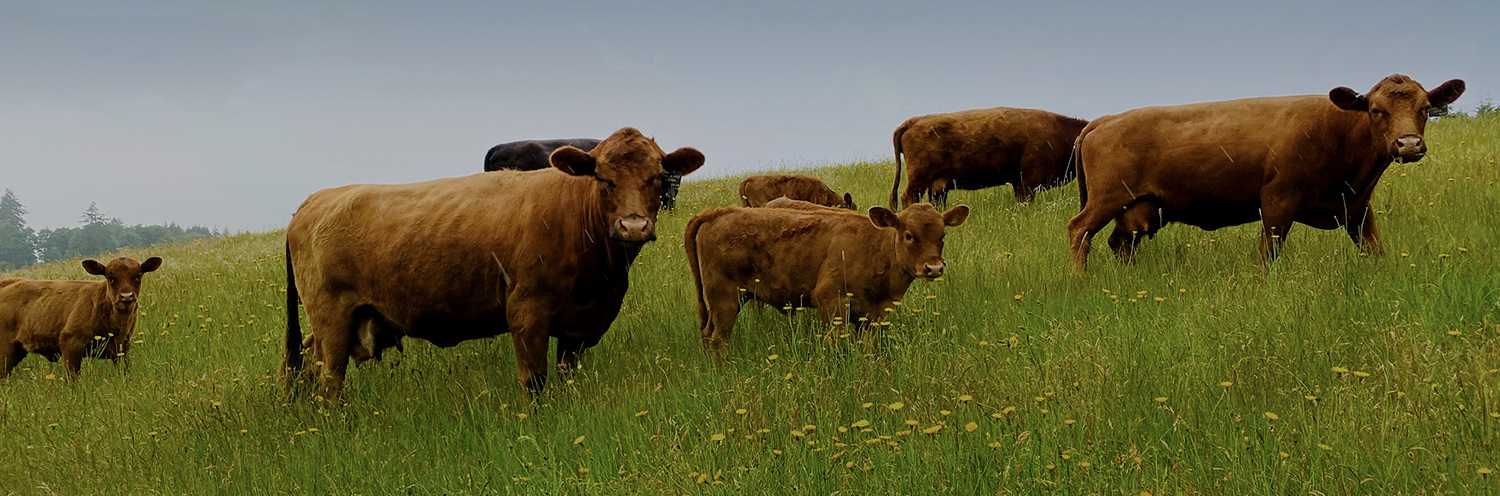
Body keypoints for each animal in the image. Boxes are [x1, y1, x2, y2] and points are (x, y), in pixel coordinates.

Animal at [0, 257, 162, 379]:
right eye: (110, 278)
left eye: (138, 276)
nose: (126, 296)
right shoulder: (71, 344)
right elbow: (72, 378)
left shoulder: (123, 347)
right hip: (6, 349)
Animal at [283, 128, 705, 401]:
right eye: (602, 178)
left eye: (658, 176)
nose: (633, 226)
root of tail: (315, 199)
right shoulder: (527, 312)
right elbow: (534, 380)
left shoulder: (581, 325)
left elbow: (567, 375)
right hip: (331, 316)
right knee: (330, 378)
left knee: (310, 362)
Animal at [684, 203, 966, 355]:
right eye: (908, 235)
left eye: (943, 235)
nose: (933, 268)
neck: (874, 249)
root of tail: (716, 213)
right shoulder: (830, 301)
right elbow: (839, 345)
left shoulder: (872, 316)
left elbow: (869, 349)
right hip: (724, 299)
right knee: (717, 339)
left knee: (708, 334)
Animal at [888, 107, 1092, 208]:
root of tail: (913, 121)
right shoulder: (1029, 181)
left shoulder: (1019, 183)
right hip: (918, 180)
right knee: (908, 197)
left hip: (936, 186)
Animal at [1068, 73, 1464, 272]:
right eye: (1375, 110)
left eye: (1425, 108)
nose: (1408, 144)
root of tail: (1105, 119)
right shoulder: (1277, 200)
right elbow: (1268, 253)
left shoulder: (1358, 208)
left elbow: (1375, 250)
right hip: (1106, 200)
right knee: (1079, 231)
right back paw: (1079, 280)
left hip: (1137, 208)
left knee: (1119, 243)